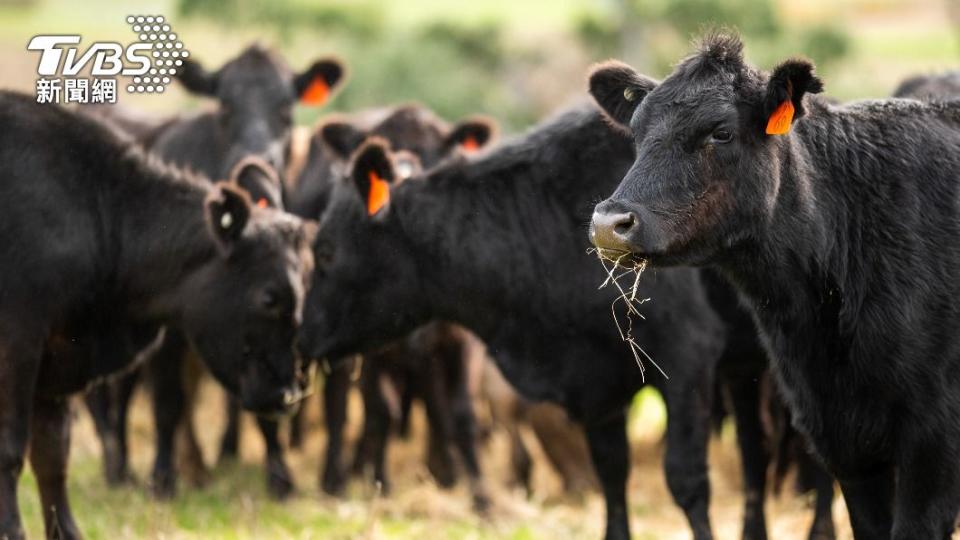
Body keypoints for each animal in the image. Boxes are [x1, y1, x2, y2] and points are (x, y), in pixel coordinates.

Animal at [0, 90, 316, 536]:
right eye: (269, 297)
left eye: (307, 282)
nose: (288, 394)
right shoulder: (19, 340)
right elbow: (11, 449)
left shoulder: (59, 360)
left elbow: (52, 456)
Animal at [300, 103, 728, 536]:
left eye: (325, 251)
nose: (303, 335)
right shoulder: (597, 383)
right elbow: (612, 474)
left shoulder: (687, 357)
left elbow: (686, 479)